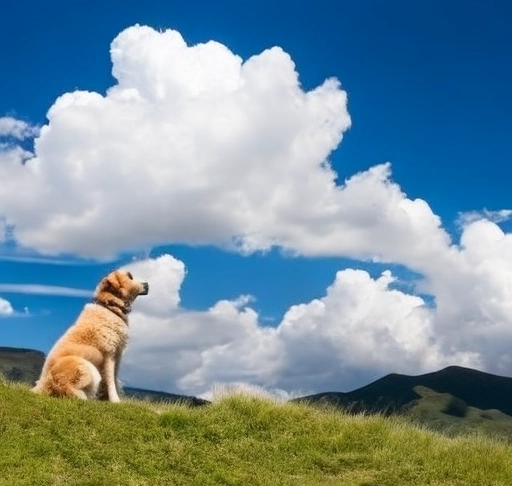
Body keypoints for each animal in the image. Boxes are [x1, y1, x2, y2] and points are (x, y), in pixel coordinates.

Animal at [32, 270, 148, 402]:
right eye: (130, 277)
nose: (147, 284)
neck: (110, 307)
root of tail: (44, 384)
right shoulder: (109, 355)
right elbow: (110, 380)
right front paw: (115, 401)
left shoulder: (117, 355)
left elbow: (113, 378)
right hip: (86, 366)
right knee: (68, 389)